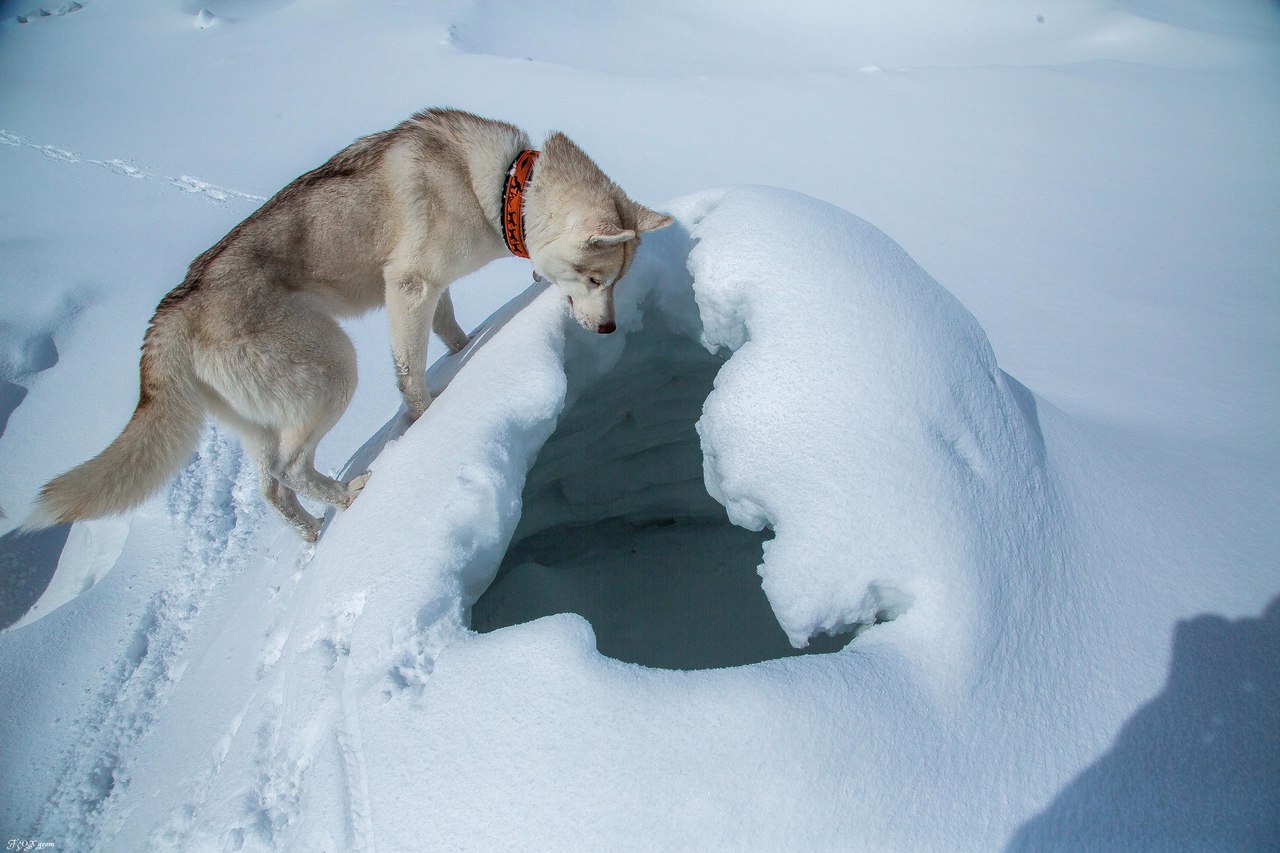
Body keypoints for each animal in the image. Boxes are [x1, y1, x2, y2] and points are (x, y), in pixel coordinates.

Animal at [24, 108, 675, 537]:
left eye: (616, 282)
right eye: (595, 279)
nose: (609, 331)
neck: (502, 189)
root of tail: (171, 310)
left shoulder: (432, 290)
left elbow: (450, 331)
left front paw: (465, 354)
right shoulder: (408, 286)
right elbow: (410, 375)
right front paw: (430, 415)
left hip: (261, 417)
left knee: (270, 486)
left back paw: (315, 531)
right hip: (333, 368)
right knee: (291, 466)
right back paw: (353, 494)